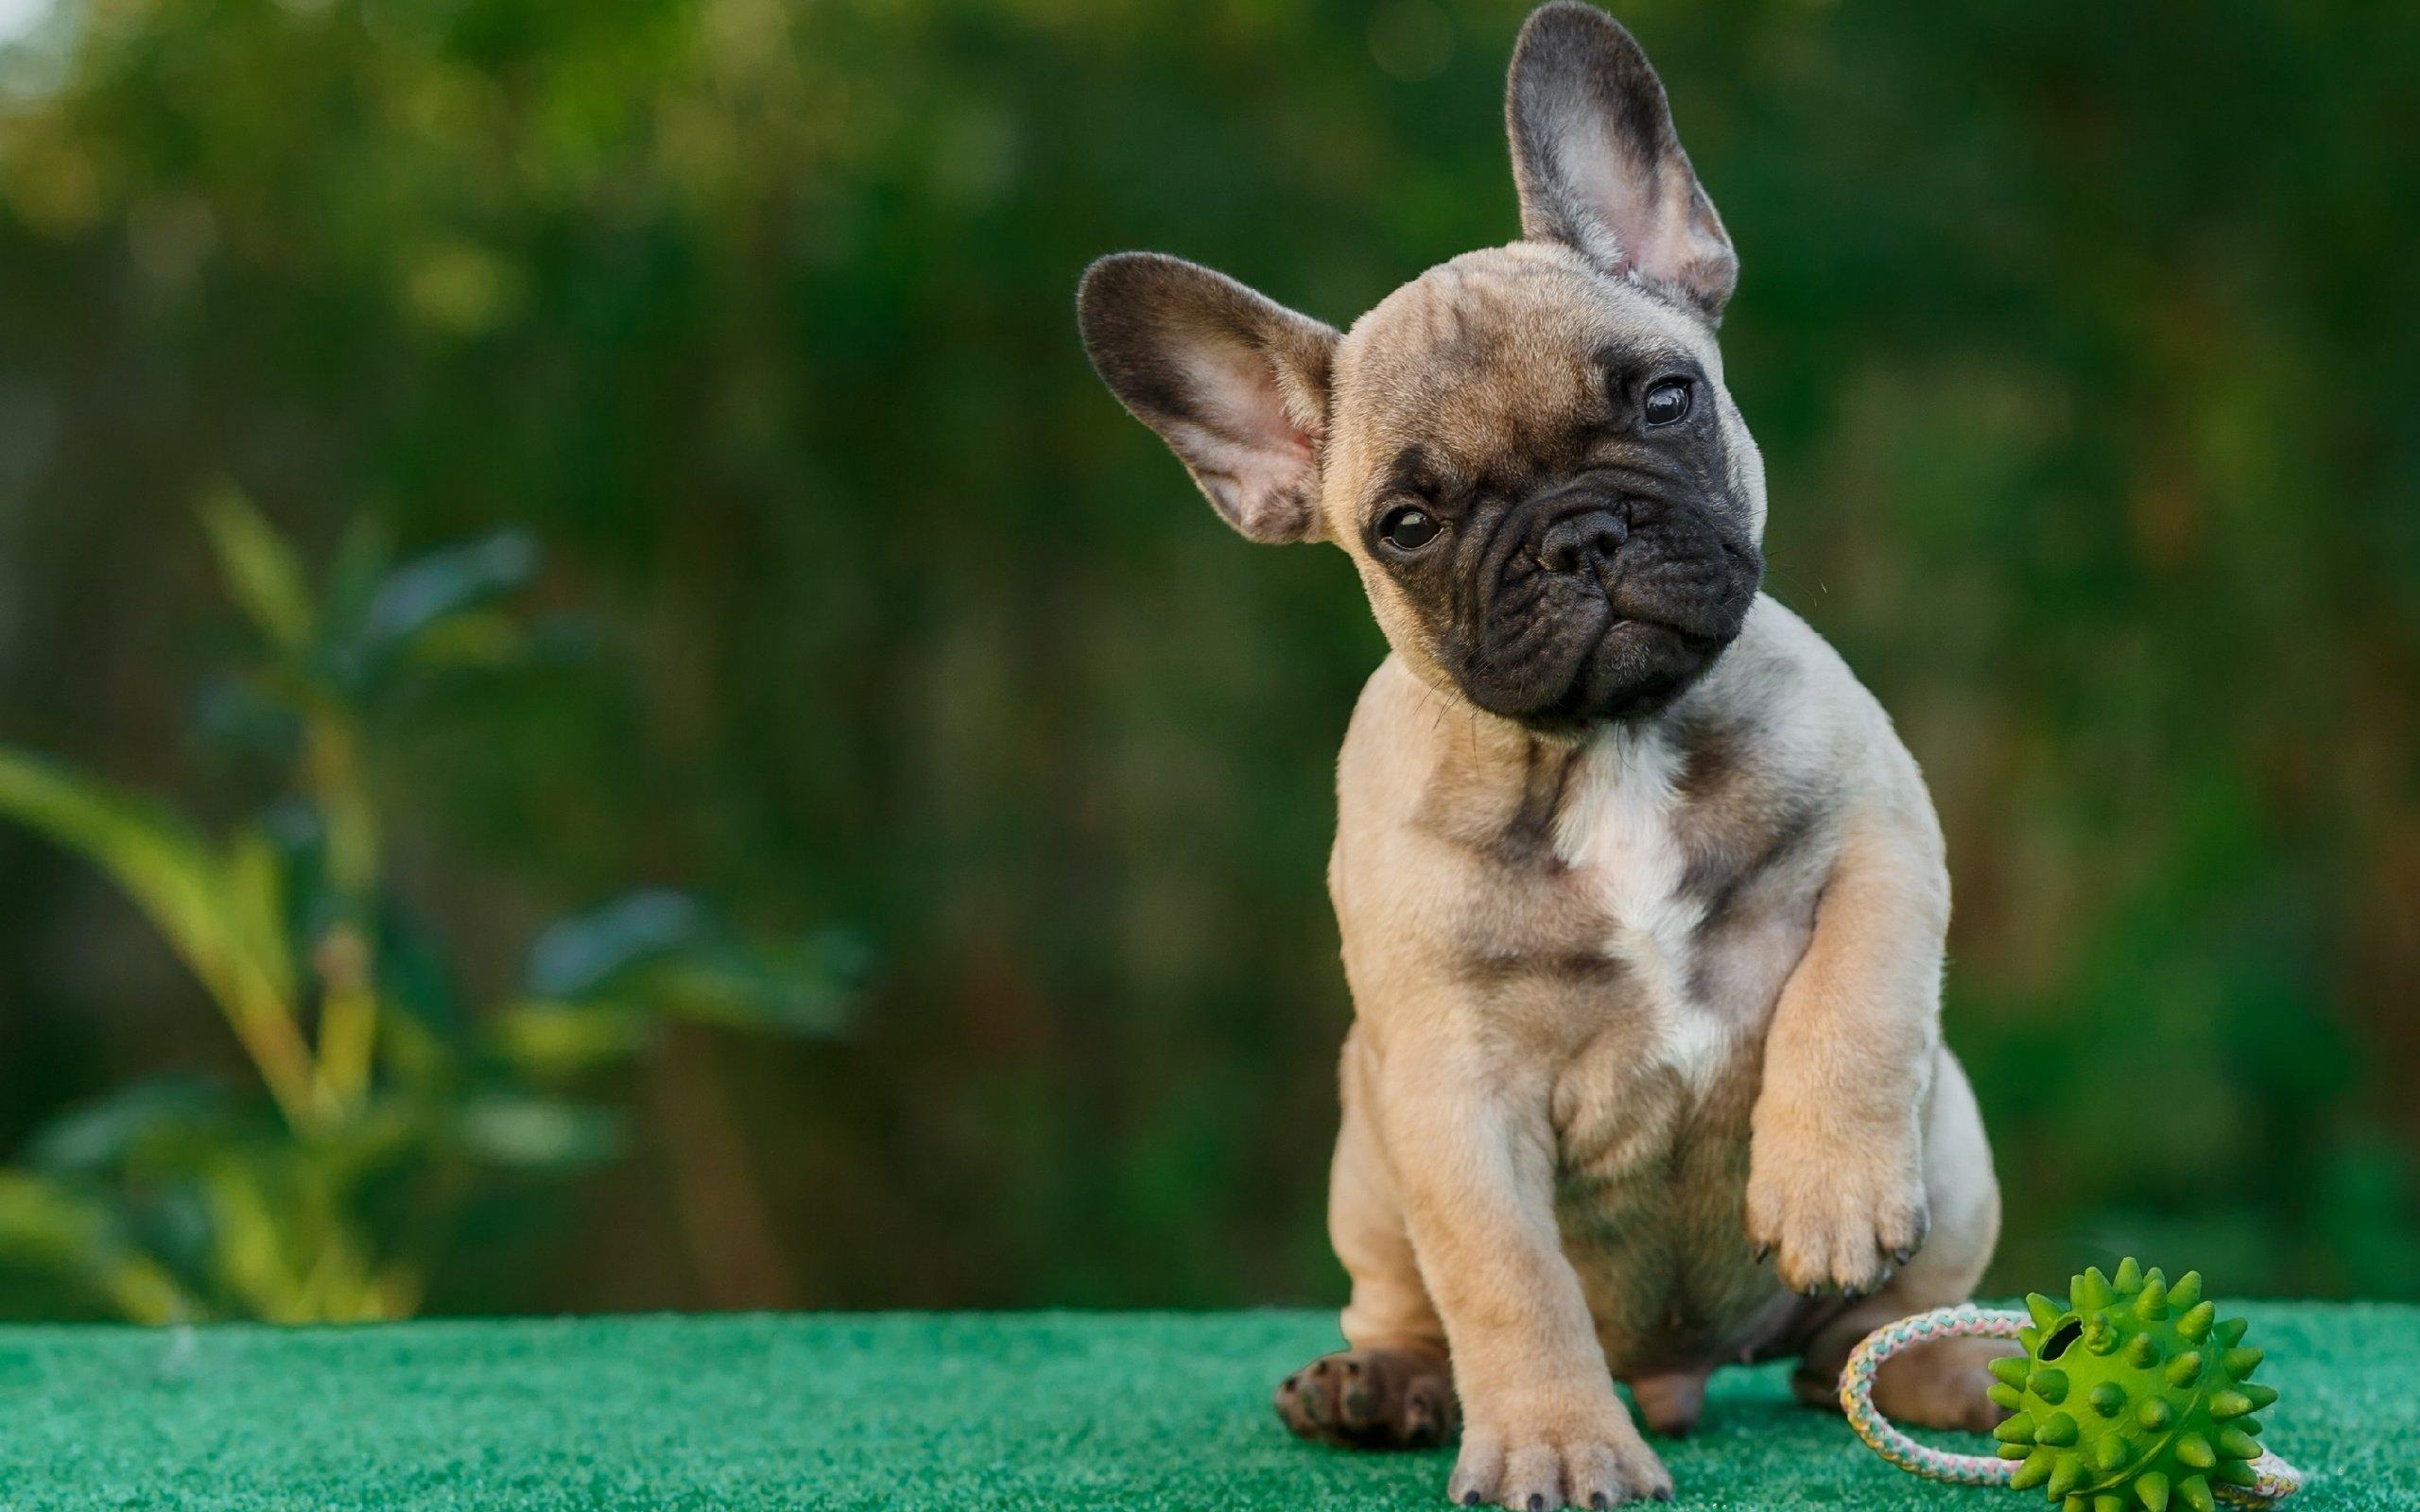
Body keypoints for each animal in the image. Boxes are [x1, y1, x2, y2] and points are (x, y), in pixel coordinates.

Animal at [1079, 6, 2003, 1500]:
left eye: (1669, 399)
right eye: (1404, 523)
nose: (1580, 536)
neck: (1605, 748)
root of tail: (1682, 1372)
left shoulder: (1881, 835)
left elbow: (1856, 1001)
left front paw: (1828, 1185)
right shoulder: (1450, 1087)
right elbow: (1507, 1277)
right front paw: (1559, 1442)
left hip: (1957, 1144)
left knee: (1861, 1341)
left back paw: (1957, 1367)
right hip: (1363, 1158)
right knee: (1412, 1308)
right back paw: (1381, 1387)